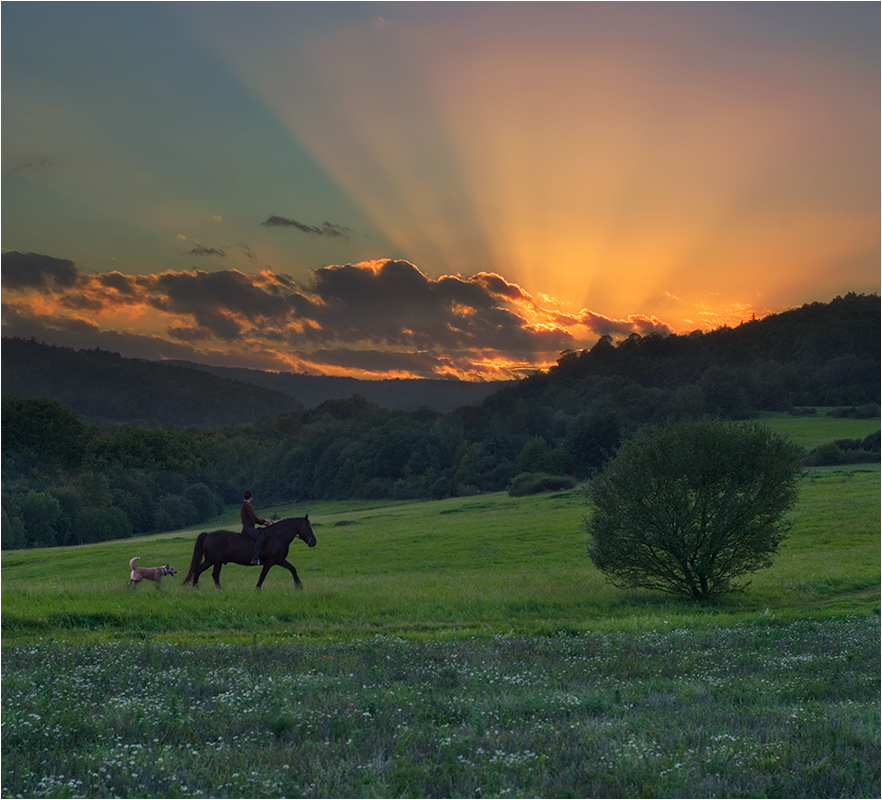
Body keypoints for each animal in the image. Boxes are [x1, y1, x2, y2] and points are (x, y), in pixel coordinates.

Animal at [180, 516, 314, 592]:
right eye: (309, 528)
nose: (314, 542)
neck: (277, 536)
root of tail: (208, 534)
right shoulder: (272, 561)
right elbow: (263, 575)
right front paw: (257, 588)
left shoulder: (278, 560)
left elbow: (292, 569)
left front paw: (299, 586)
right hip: (211, 560)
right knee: (198, 570)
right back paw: (196, 587)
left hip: (217, 562)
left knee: (215, 575)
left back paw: (220, 590)